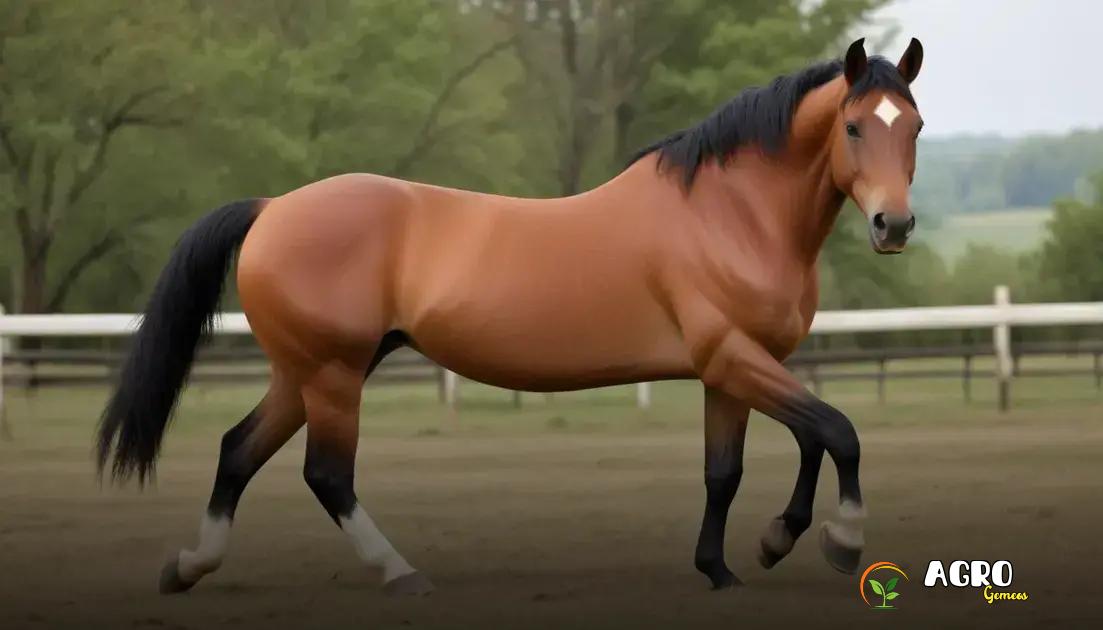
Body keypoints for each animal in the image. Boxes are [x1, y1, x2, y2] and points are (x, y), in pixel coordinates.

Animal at [97, 37, 924, 595]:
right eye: (854, 126)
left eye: (912, 127)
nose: (893, 225)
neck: (728, 214)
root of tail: (272, 208)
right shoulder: (730, 356)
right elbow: (836, 432)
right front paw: (839, 541)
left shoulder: (733, 370)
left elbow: (739, 466)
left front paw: (737, 559)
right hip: (332, 374)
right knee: (326, 474)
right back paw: (400, 574)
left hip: (308, 372)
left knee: (238, 451)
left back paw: (190, 564)